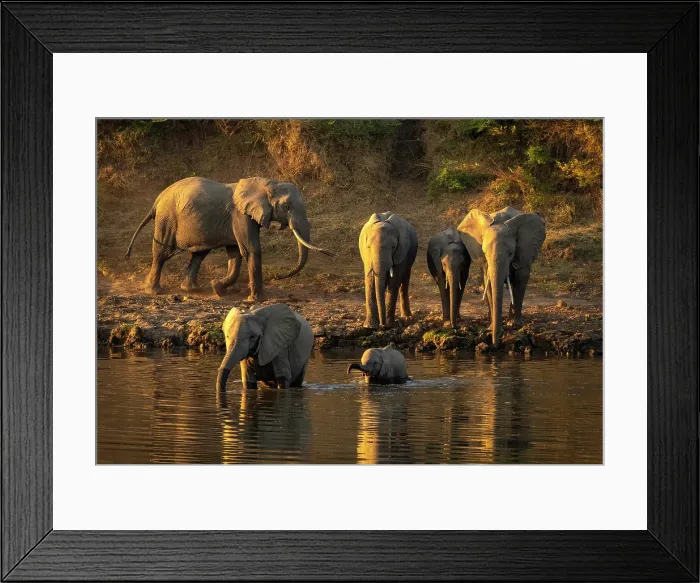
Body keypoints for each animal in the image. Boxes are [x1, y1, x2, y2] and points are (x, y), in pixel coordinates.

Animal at [125, 176, 333, 299]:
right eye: (287, 207)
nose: (277, 277)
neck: (266, 183)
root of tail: (157, 200)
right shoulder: (240, 216)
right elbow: (251, 250)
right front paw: (256, 300)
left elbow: (235, 254)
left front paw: (217, 288)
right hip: (167, 218)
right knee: (162, 253)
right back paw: (155, 291)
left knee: (199, 254)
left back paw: (192, 290)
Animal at [457, 206, 546, 345]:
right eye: (484, 252)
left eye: (511, 253)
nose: (495, 344)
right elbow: (488, 283)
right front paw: (491, 327)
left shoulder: (523, 252)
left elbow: (520, 279)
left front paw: (515, 324)